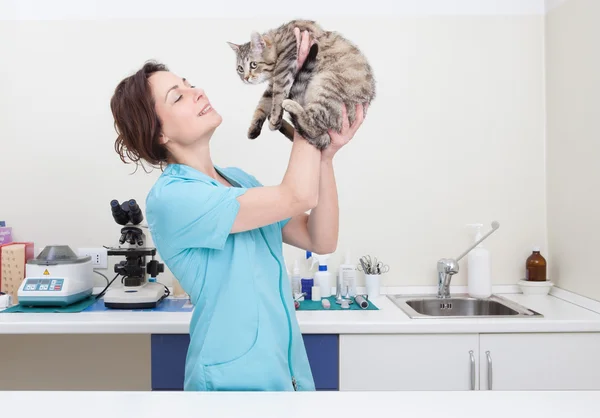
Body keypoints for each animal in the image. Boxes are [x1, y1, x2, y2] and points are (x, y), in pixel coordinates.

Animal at [229, 20, 376, 150]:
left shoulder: (284, 66)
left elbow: (278, 95)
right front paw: (254, 127)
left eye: (253, 65)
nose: (246, 78)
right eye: (240, 69)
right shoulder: (272, 84)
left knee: (311, 125)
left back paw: (291, 106)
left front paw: (274, 119)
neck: (279, 37)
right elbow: (263, 103)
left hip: (326, 83)